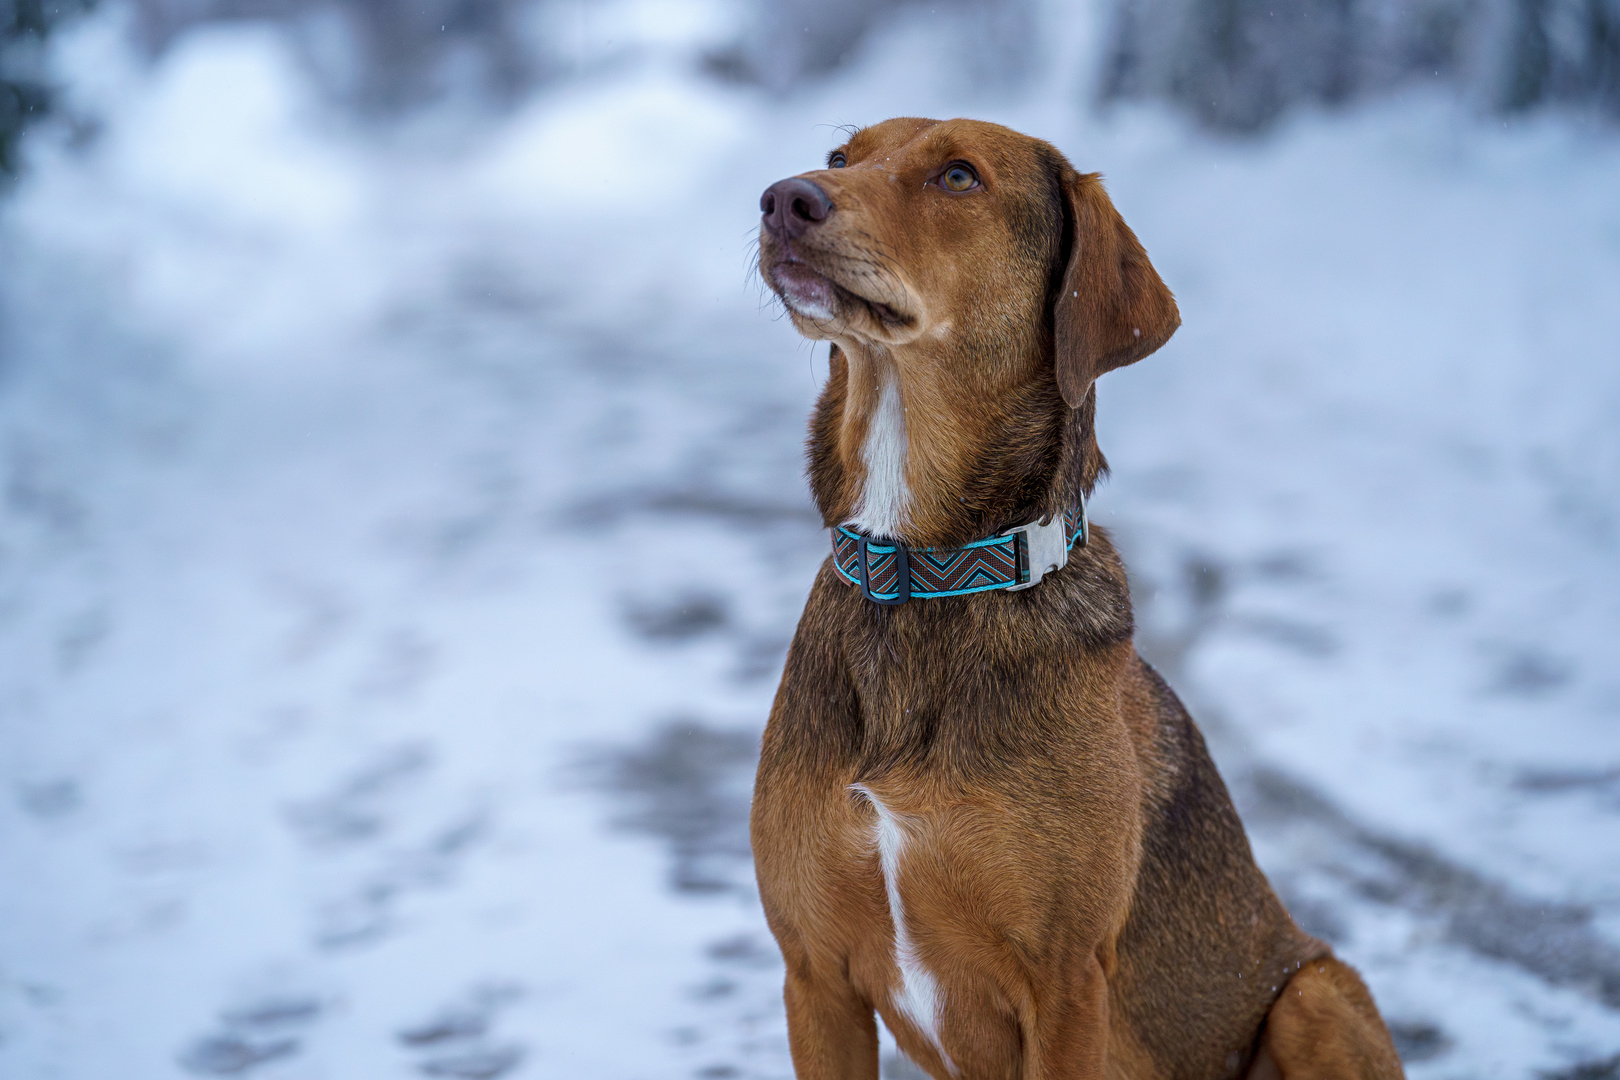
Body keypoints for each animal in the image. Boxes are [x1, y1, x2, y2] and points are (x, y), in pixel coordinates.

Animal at [748, 118, 1406, 1080]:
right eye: (841, 157)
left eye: (959, 177)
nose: (784, 199)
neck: (929, 569)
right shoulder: (813, 973)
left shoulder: (1063, 986)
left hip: (1317, 991)